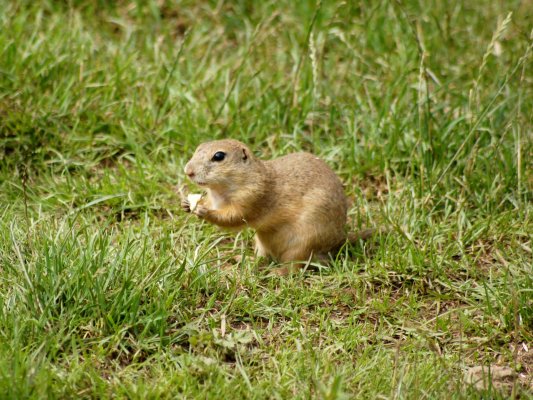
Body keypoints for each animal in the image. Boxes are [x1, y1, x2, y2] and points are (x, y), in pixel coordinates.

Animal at [181, 139, 368, 274]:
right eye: (198, 147)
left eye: (219, 156)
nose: (187, 171)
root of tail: (338, 240)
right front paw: (187, 204)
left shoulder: (251, 198)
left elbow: (232, 218)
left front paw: (204, 211)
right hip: (262, 242)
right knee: (263, 258)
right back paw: (242, 259)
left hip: (304, 243)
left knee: (294, 267)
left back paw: (275, 273)